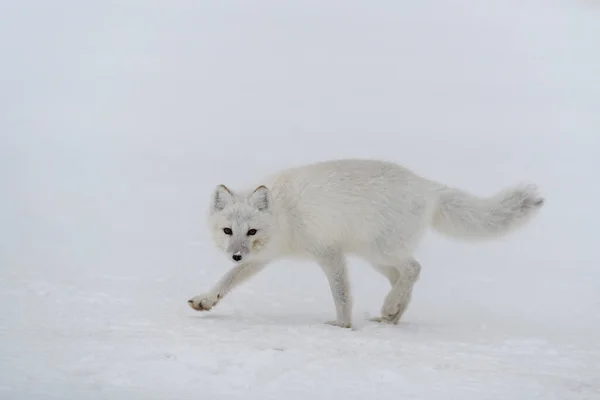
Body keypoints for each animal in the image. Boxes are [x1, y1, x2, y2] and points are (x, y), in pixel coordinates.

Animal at [189, 158, 544, 326]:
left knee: (414, 269)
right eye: (227, 231)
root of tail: (427, 186)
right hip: (377, 259)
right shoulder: (262, 259)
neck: (284, 215)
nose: (235, 254)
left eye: (251, 232)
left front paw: (341, 325)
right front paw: (205, 300)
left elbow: (342, 294)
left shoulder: (329, 252)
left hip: (380, 250)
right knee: (405, 279)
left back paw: (389, 308)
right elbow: (227, 280)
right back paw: (392, 315)